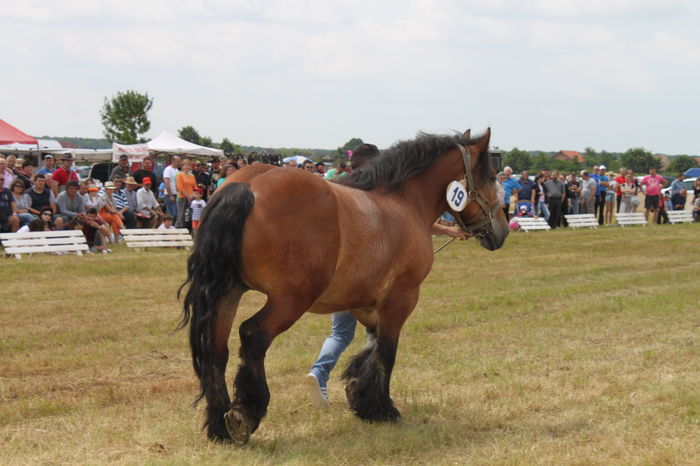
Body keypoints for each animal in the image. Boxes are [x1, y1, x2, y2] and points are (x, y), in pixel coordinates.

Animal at [179, 128, 509, 444]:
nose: (503, 230)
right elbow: (387, 350)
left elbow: (370, 346)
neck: (404, 201)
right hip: (289, 300)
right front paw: (383, 408)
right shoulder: (401, 297)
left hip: (227, 293)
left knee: (215, 350)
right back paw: (246, 413)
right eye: (493, 177)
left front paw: (363, 397)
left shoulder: (362, 302)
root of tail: (246, 186)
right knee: (252, 335)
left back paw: (220, 425)